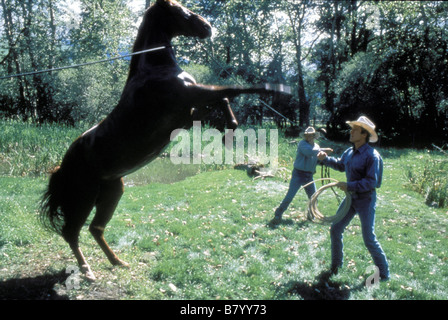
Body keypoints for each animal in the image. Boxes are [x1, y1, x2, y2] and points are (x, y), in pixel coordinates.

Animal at [40, 0, 288, 280]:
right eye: (179, 9)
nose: (207, 27)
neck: (155, 70)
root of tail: (62, 167)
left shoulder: (189, 113)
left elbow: (223, 97)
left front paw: (230, 131)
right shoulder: (191, 98)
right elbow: (233, 89)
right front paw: (276, 89)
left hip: (112, 192)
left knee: (96, 229)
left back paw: (118, 262)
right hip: (83, 197)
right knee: (71, 232)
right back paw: (87, 270)